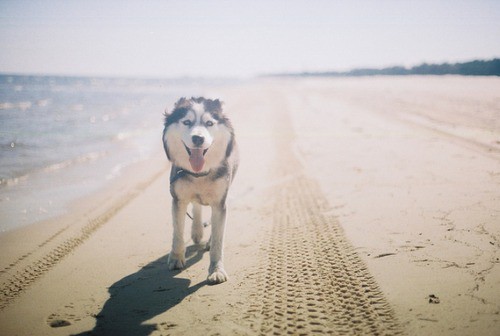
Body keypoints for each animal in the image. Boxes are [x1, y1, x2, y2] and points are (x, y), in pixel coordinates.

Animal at [161, 97, 237, 284]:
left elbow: (218, 240)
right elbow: (177, 232)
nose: (197, 138)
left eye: (209, 123)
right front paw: (176, 258)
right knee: (196, 205)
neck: (199, 174)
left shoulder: (220, 202)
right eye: (186, 122)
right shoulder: (178, 199)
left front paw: (216, 270)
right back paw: (196, 231)